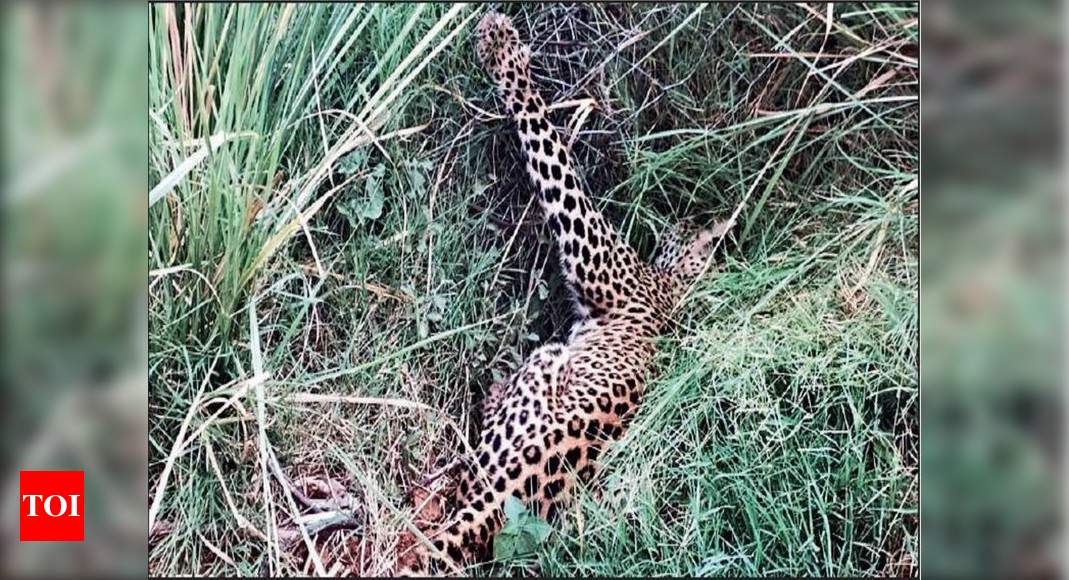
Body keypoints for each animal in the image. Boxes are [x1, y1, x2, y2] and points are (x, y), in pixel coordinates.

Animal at [395, 12, 718, 576]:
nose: (675, 223)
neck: (672, 289)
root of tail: (498, 508)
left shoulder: (594, 252)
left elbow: (552, 150)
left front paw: (502, 49)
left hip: (543, 367)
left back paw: (490, 391)